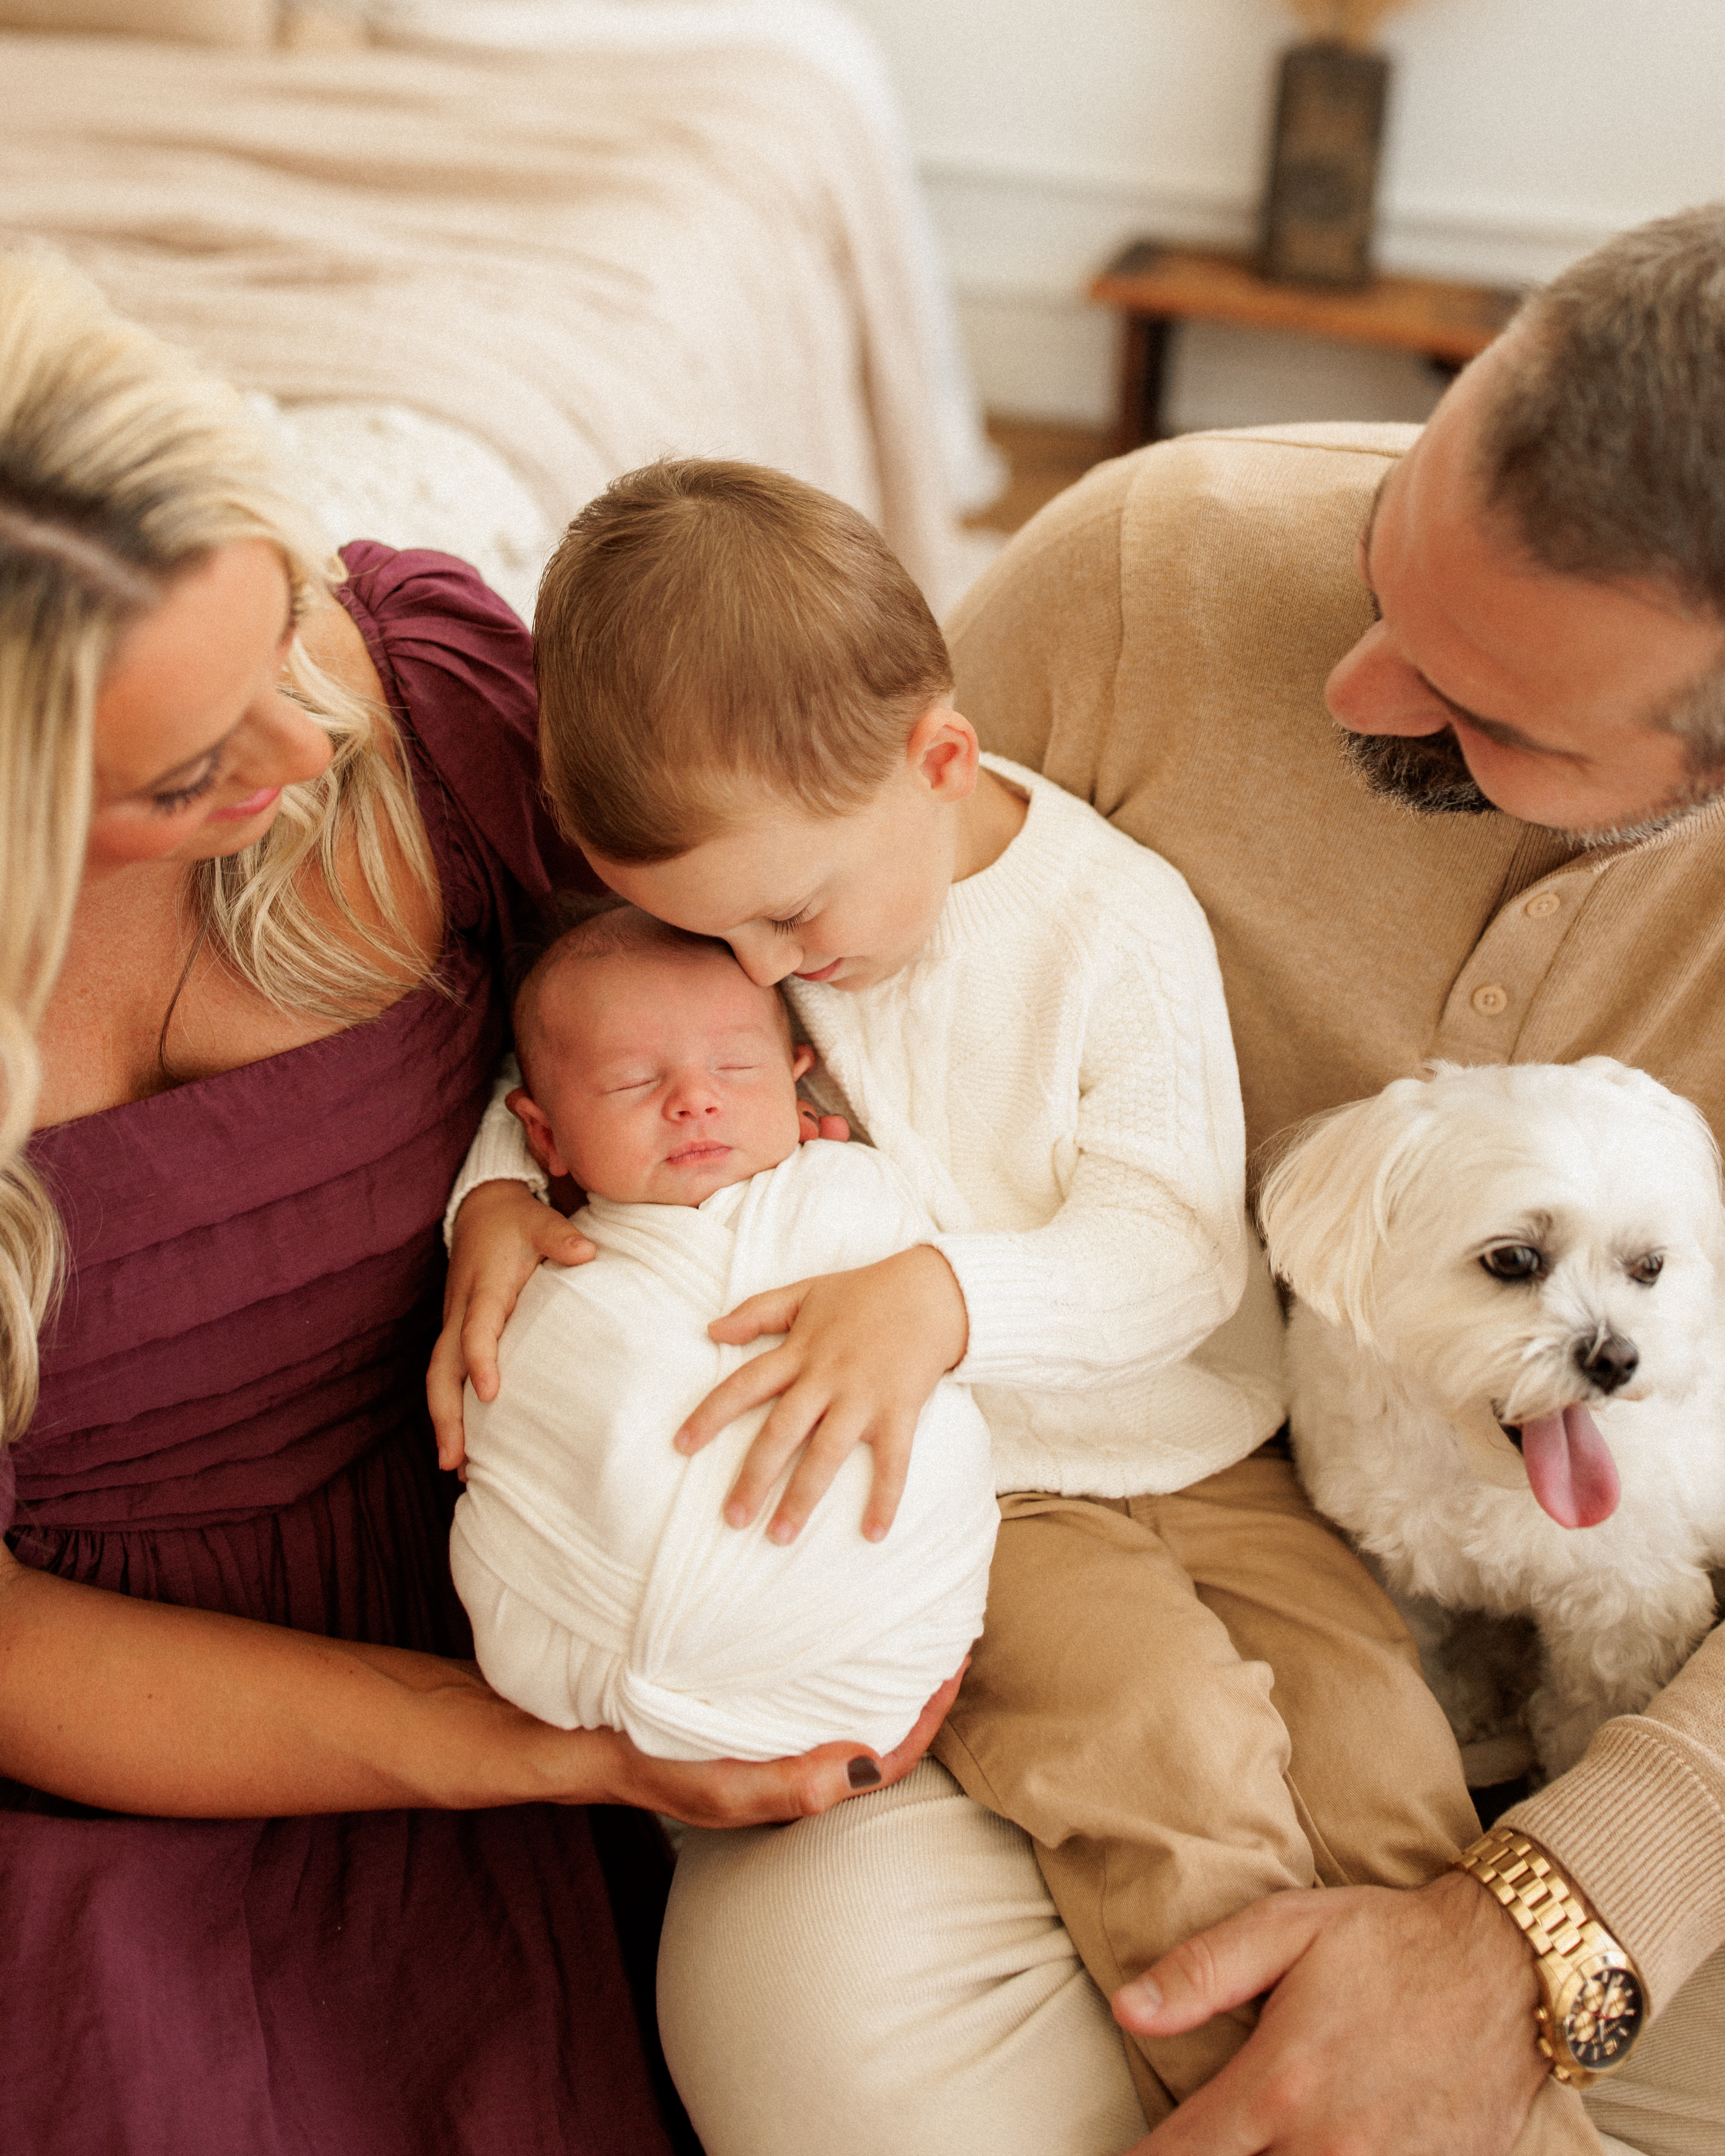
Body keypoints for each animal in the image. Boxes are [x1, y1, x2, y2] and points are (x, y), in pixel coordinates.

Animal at [1259, 1052, 1725, 1776]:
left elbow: (1590, 1705)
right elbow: (1427, 1645)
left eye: (1649, 1267)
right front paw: (1463, 1704)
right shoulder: (1396, 1557)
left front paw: (1560, 1761)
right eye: (1513, 1258)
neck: (1483, 1475)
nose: (1616, 1358)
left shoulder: (1628, 1602)